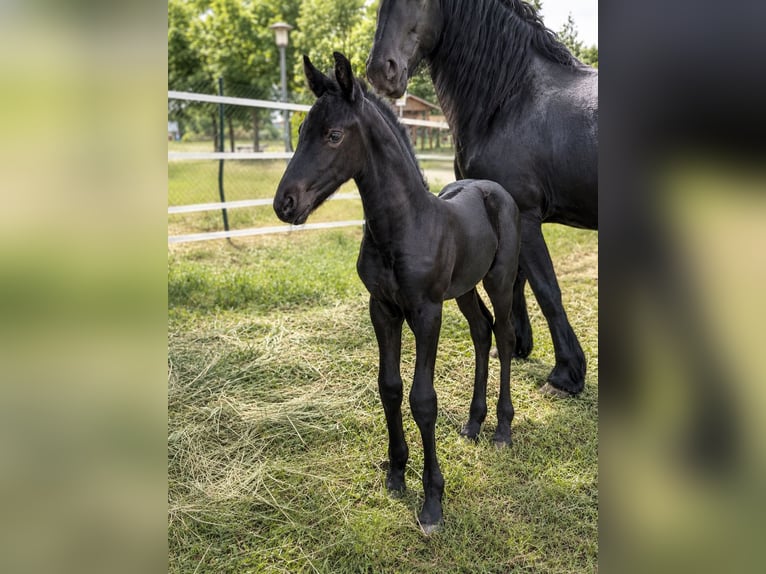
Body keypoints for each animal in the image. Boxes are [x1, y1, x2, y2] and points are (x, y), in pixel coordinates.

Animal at [273, 52, 521, 533]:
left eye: (333, 135)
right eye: (301, 130)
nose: (284, 204)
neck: (403, 226)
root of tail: (494, 189)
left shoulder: (426, 312)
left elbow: (423, 400)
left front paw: (433, 501)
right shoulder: (383, 308)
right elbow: (389, 386)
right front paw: (396, 473)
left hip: (499, 281)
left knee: (503, 335)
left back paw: (502, 429)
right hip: (463, 289)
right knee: (482, 331)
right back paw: (473, 424)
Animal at [366, 0, 598, 397]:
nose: (382, 71)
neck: (512, 99)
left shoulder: (524, 215)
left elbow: (547, 290)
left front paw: (566, 375)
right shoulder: (508, 216)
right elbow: (517, 279)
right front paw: (518, 345)